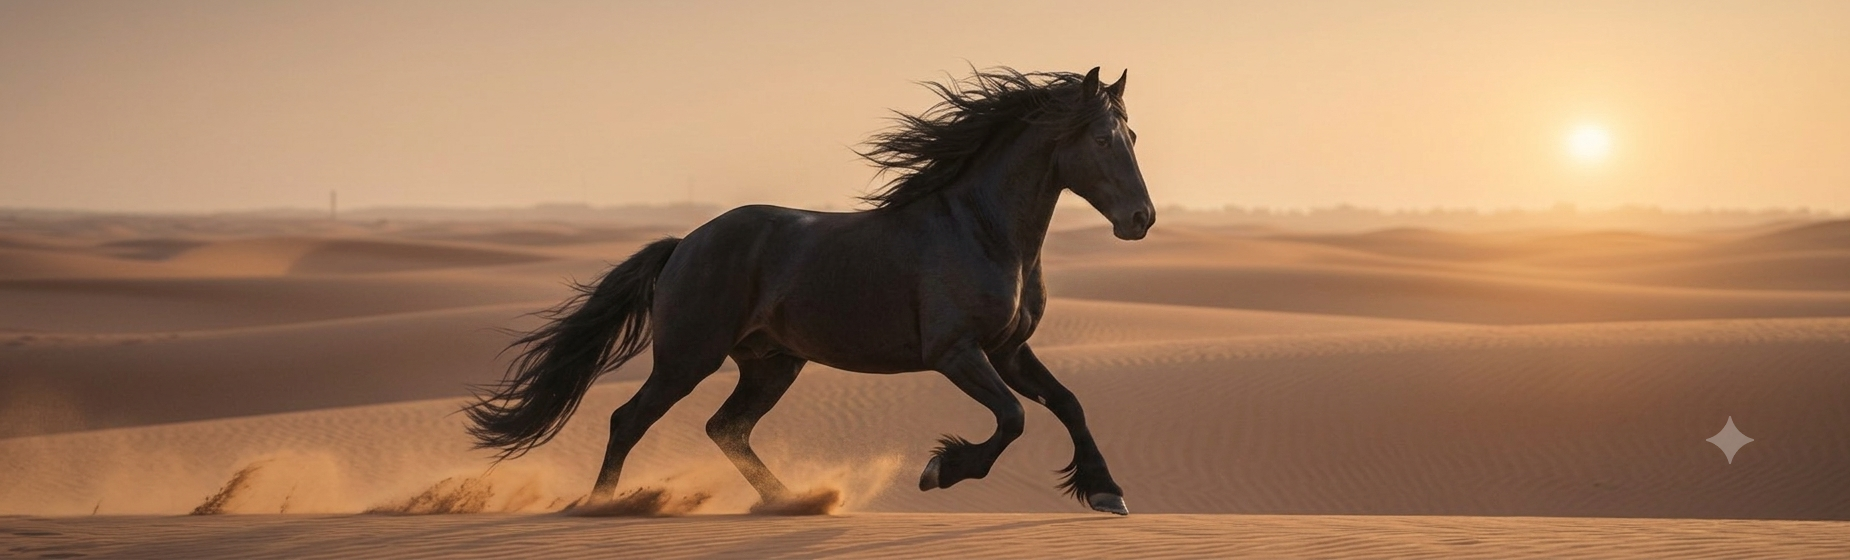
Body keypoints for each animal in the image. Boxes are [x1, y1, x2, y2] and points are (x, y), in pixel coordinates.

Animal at [464, 66, 1153, 515]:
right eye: (1101, 139)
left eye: (1133, 137)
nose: (1141, 219)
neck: (980, 229)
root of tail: (685, 244)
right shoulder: (956, 352)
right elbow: (1012, 418)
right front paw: (940, 470)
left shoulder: (1009, 350)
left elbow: (1068, 404)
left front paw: (1106, 492)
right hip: (688, 358)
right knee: (629, 419)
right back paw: (600, 506)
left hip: (772, 364)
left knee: (725, 428)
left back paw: (792, 500)